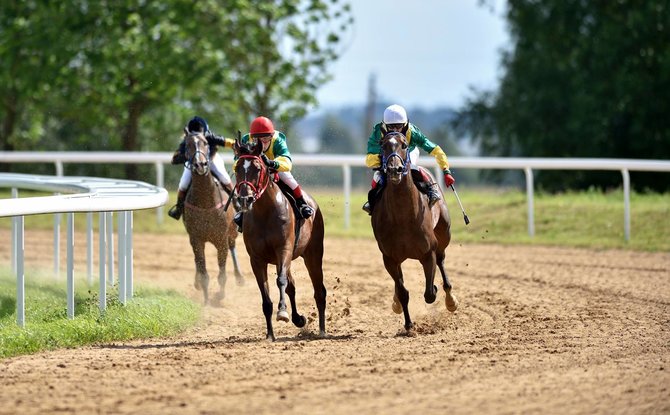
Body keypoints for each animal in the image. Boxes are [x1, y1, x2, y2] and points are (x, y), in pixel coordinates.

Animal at [182, 132, 245, 308]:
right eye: (188, 144)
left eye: (205, 142)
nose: (200, 164)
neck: (205, 202)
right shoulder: (196, 239)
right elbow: (203, 271)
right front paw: (205, 301)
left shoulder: (221, 239)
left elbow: (222, 274)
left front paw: (220, 296)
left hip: (232, 232)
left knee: (233, 246)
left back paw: (239, 277)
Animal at [232, 139, 326, 342]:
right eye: (237, 168)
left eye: (258, 168)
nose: (245, 199)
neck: (265, 212)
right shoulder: (257, 259)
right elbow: (266, 296)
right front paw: (270, 334)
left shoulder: (284, 249)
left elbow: (281, 281)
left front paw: (282, 312)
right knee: (292, 287)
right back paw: (298, 319)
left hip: (313, 254)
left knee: (319, 291)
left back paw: (322, 330)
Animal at [370, 132, 460, 334]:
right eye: (383, 144)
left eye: (404, 145)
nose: (394, 170)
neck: (403, 217)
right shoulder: (389, 258)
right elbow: (403, 292)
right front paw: (408, 324)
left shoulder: (428, 253)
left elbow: (429, 293)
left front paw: (435, 288)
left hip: (444, 234)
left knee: (442, 260)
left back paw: (450, 299)